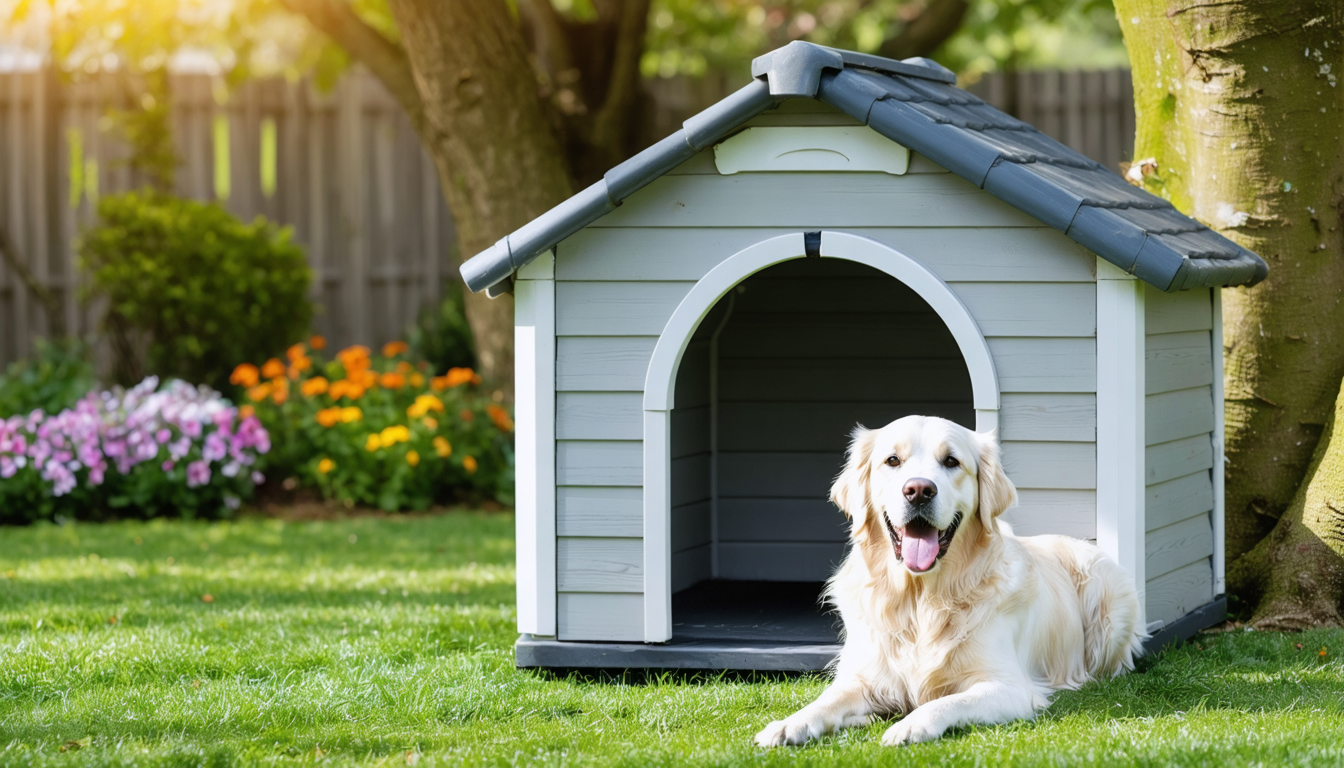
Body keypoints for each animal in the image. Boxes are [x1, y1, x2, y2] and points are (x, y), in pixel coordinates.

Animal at [758, 416, 1145, 747]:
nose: (918, 490)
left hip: (1109, 593)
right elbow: (825, 701)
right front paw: (789, 724)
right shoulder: (863, 677)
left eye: (951, 461)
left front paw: (910, 725)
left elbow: (947, 702)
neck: (920, 599)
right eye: (892, 461)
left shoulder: (1009, 687)